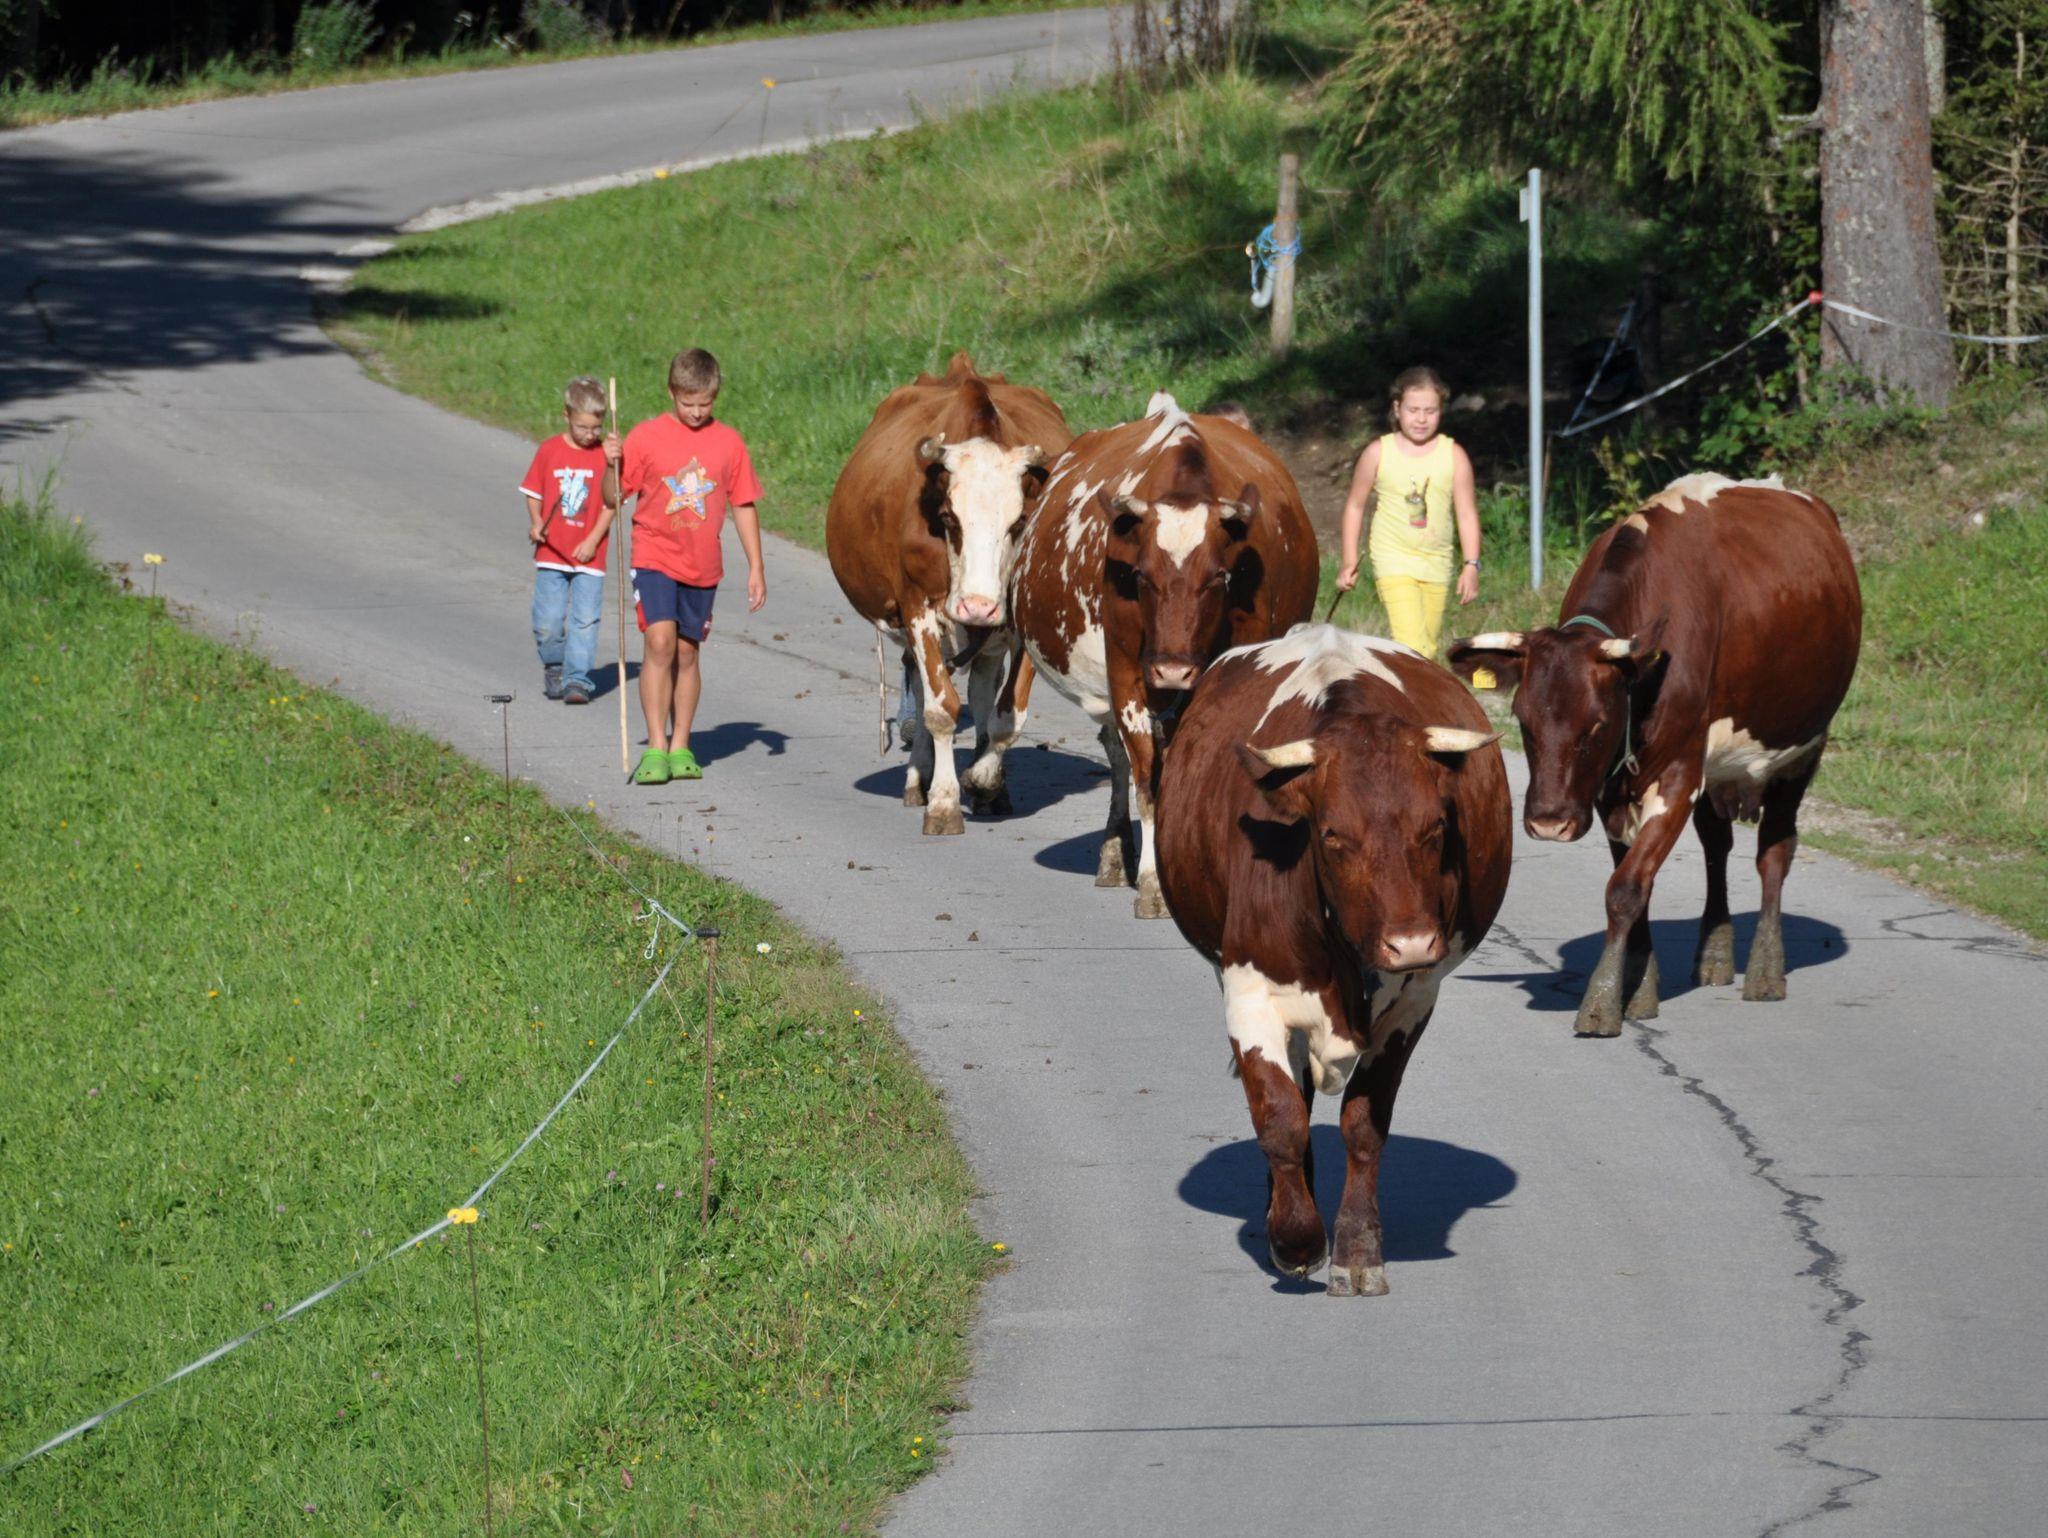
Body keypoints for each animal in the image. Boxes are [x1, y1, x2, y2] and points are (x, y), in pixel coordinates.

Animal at [825, 353, 1071, 835]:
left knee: (980, 689)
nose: (979, 606)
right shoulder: (917, 608)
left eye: (1019, 522)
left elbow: (1006, 715)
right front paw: (943, 801)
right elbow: (940, 709)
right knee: (923, 690)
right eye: (948, 518)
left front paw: (984, 779)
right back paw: (918, 778)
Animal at [1008, 392, 1318, 917]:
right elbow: (1149, 781)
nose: (1173, 668)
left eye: (1218, 577)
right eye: (1140, 575)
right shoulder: (1127, 675)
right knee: (1119, 758)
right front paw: (1155, 884)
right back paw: (1115, 855)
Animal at [1156, 624, 1512, 1294]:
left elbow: (1365, 1124)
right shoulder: (1250, 992)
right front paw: (1295, 1239)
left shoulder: (1414, 1001)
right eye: (1332, 836)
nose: (1411, 943)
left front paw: (1356, 1249)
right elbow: (1280, 1118)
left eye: (1435, 828)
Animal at [1446, 473, 1862, 1038]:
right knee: (1717, 846)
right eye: (1524, 721)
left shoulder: (1678, 776)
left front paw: (1601, 1002)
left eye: (1596, 725)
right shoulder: (1608, 787)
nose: (1549, 822)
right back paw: (1714, 954)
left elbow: (1626, 886)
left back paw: (1765, 970)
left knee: (1774, 851)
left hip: (1803, 748)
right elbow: (1633, 881)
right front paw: (1640, 988)